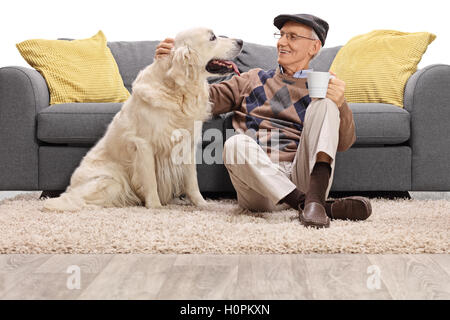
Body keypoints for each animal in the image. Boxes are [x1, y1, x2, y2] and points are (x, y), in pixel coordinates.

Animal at [43, 28, 243, 212]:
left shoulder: (187, 143)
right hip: (111, 182)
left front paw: (202, 204)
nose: (241, 41)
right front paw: (155, 206)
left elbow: (192, 180)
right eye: (213, 37)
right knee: (82, 200)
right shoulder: (144, 144)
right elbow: (150, 179)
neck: (177, 92)